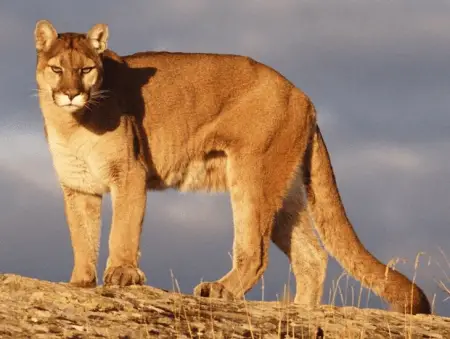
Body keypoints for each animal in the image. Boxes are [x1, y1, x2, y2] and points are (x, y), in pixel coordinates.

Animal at [34, 19, 428, 314]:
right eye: (57, 69)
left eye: (86, 69)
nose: (71, 93)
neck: (71, 124)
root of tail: (303, 95)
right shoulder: (78, 186)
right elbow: (82, 236)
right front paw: (80, 281)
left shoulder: (129, 173)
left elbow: (122, 230)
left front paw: (122, 274)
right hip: (284, 192)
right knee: (312, 254)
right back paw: (300, 311)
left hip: (252, 174)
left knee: (255, 251)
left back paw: (221, 290)